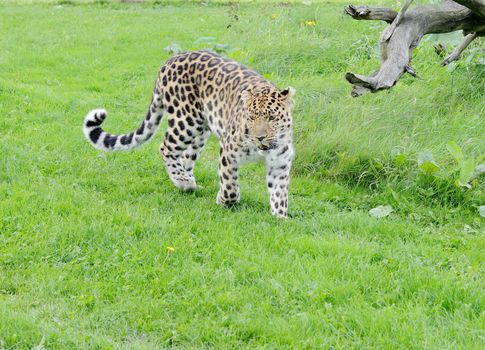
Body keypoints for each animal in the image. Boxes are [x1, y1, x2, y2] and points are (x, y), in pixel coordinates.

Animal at [82, 50, 294, 216]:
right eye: (250, 118)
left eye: (272, 118)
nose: (259, 137)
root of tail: (172, 59)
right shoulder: (228, 151)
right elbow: (230, 185)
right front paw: (223, 200)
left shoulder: (280, 164)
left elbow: (279, 195)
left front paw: (280, 219)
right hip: (185, 121)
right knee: (165, 147)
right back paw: (184, 182)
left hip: (200, 131)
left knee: (184, 157)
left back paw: (187, 183)